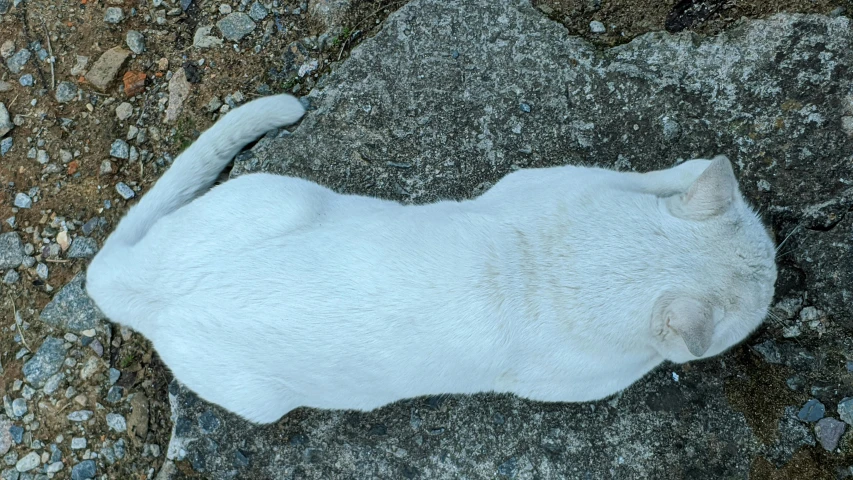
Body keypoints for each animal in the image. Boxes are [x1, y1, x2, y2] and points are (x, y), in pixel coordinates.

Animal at [85, 94, 772, 424]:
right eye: (754, 314)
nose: (777, 277)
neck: (571, 259)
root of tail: (138, 278)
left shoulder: (544, 182)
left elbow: (647, 176)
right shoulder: (572, 381)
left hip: (274, 195)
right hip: (256, 397)